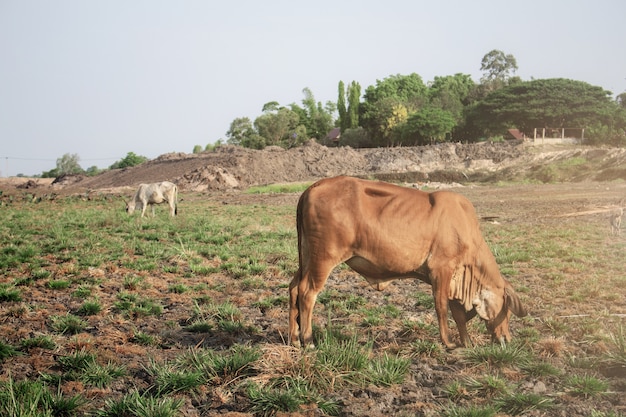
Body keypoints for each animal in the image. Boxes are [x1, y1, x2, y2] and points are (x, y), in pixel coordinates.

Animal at [290, 176, 524, 348]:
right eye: (507, 309)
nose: (506, 339)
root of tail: (312, 188)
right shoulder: (442, 269)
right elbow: (442, 307)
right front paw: (448, 343)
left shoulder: (454, 278)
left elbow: (458, 315)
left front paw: (467, 343)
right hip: (323, 258)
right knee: (307, 292)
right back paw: (308, 340)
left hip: (307, 256)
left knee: (293, 288)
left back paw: (294, 338)